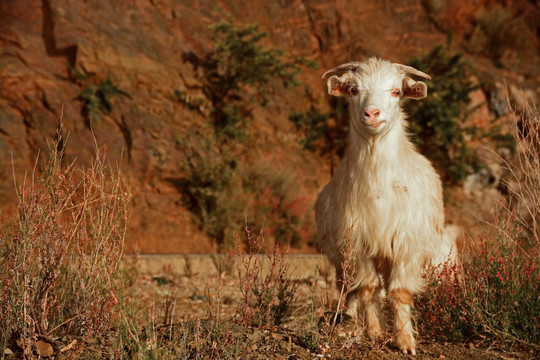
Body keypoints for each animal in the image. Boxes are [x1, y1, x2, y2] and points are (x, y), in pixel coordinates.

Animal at [316, 57, 452, 356]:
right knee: (353, 290)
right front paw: (376, 333)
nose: (372, 113)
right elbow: (367, 289)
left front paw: (406, 342)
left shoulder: (406, 243)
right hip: (343, 259)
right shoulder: (356, 244)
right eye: (354, 90)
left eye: (396, 91)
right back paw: (350, 323)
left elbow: (399, 292)